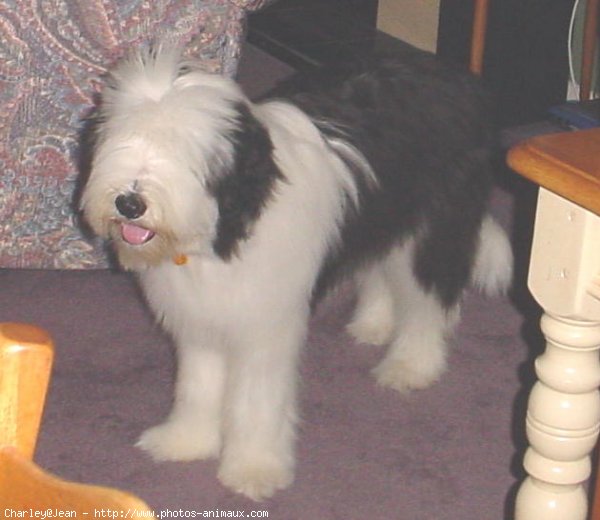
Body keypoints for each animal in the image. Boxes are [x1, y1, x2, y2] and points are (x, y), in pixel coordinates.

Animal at [78, 45, 510, 504]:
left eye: (184, 154)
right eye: (126, 141)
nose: (129, 203)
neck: (229, 228)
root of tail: (453, 73)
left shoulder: (265, 326)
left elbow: (256, 401)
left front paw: (253, 469)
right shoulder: (202, 322)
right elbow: (198, 385)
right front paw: (186, 441)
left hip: (432, 228)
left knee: (430, 299)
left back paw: (412, 365)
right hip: (379, 219)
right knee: (379, 269)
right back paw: (373, 324)